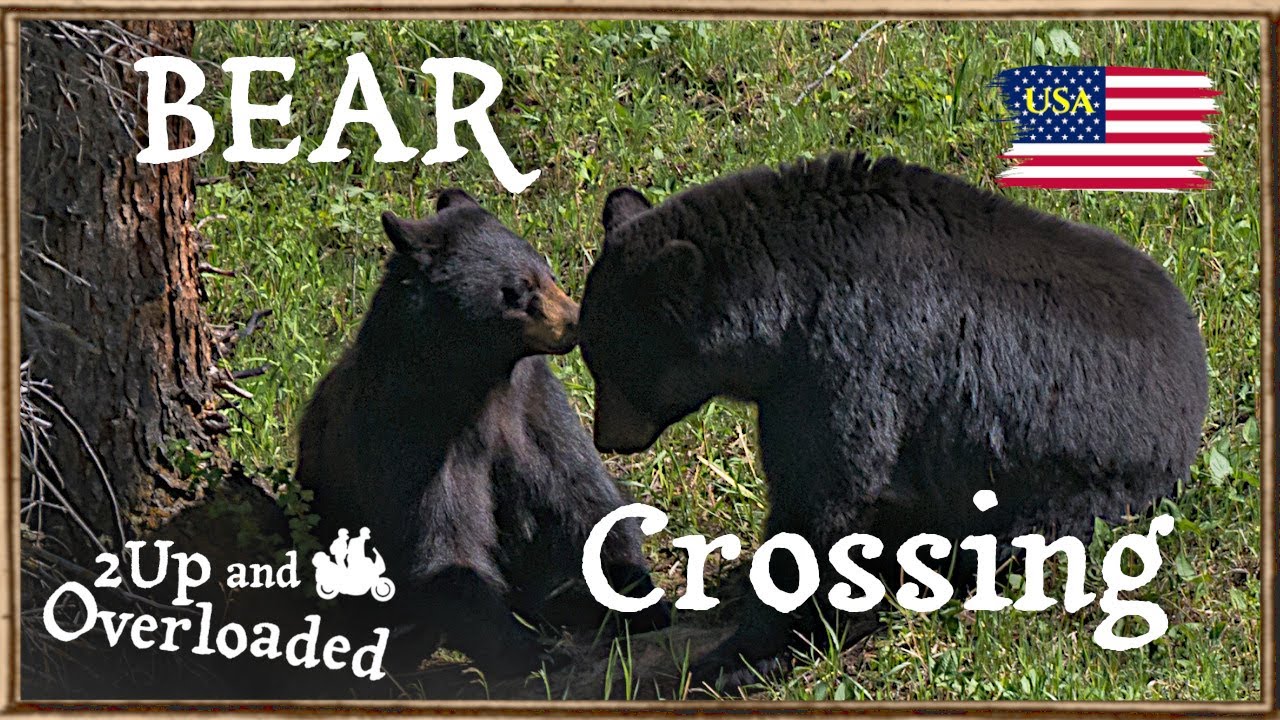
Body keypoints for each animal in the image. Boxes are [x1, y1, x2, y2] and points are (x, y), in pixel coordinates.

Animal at [294, 189, 670, 686]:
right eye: (517, 290)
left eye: (548, 273)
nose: (575, 321)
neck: (483, 383)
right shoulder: (410, 431)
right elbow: (444, 546)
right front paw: (531, 653)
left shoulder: (534, 404)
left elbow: (585, 499)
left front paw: (638, 600)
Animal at [578, 152, 1209, 686]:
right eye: (591, 356)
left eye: (613, 362)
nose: (606, 438)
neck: (785, 301)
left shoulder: (850, 354)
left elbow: (826, 491)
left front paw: (746, 650)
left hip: (1078, 482)